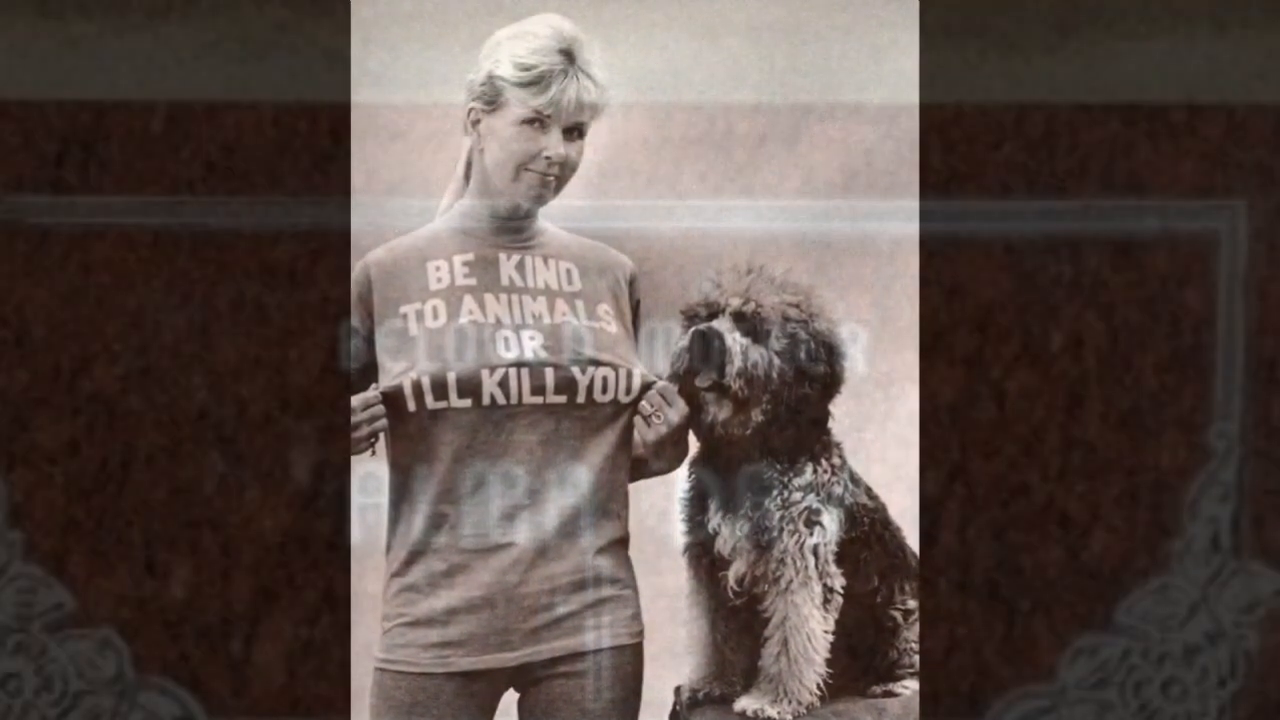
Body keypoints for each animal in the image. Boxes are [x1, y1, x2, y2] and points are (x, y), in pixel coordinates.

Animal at [665, 263, 916, 717]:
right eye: (703, 316)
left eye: (749, 323)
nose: (702, 338)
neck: (745, 457)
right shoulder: (711, 566)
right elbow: (716, 637)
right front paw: (713, 684)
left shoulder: (799, 562)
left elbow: (792, 636)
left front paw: (774, 699)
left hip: (900, 612)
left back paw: (895, 684)